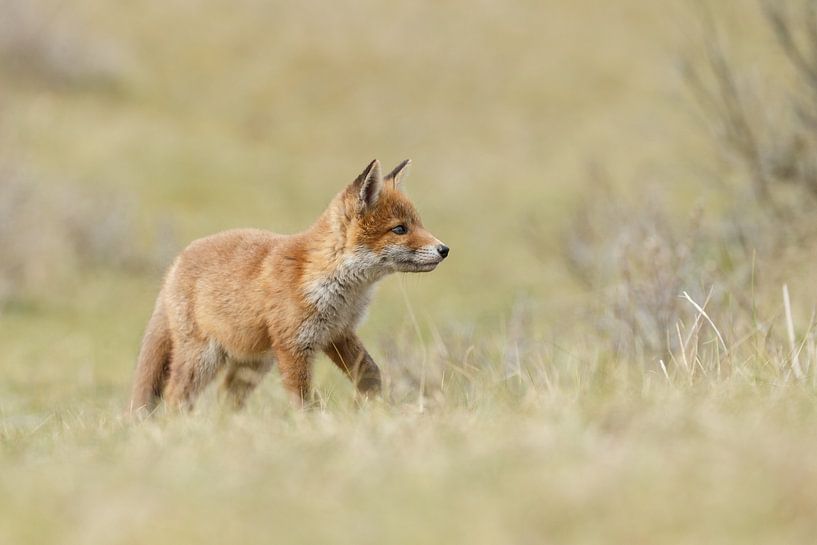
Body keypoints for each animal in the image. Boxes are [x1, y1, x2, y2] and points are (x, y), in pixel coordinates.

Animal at [130, 159, 446, 414]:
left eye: (419, 224)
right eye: (400, 229)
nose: (444, 249)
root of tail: (175, 264)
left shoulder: (338, 334)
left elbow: (371, 375)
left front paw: (378, 410)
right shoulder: (294, 345)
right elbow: (304, 399)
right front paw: (312, 426)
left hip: (254, 363)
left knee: (227, 398)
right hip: (203, 358)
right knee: (175, 395)